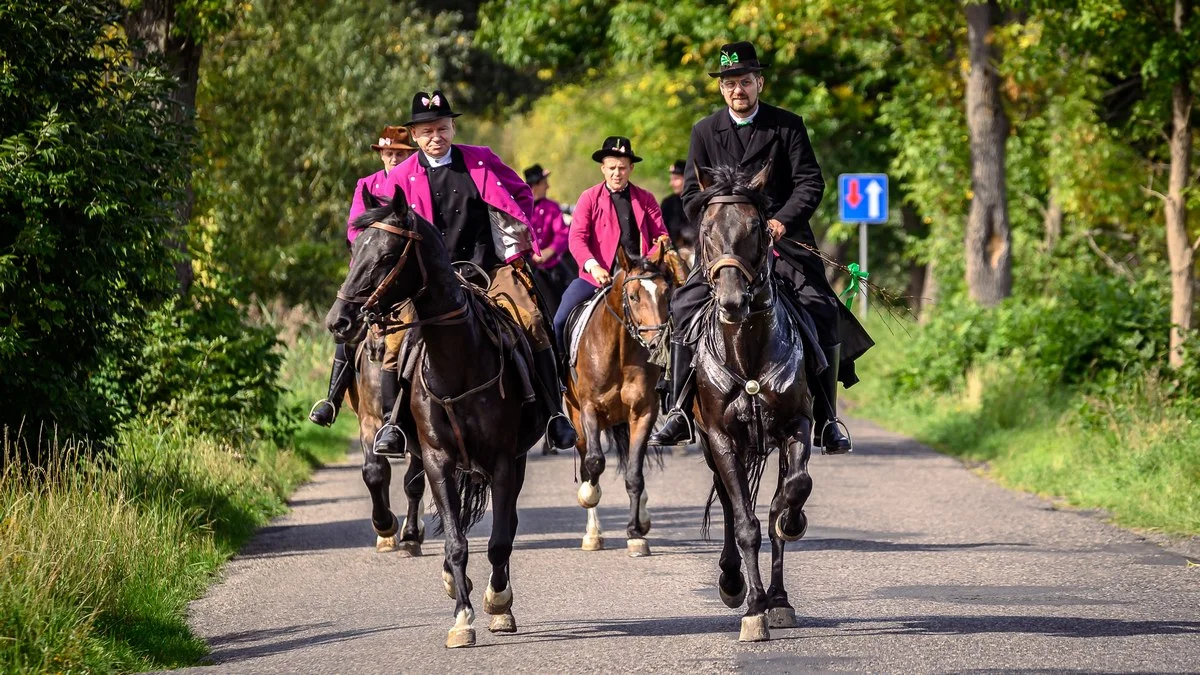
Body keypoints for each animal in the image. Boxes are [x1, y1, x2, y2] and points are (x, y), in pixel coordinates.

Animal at [326, 184, 547, 648]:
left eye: (386, 256)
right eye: (355, 250)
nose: (339, 321)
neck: (458, 362)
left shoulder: (504, 461)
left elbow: (499, 540)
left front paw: (498, 605)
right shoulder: (433, 456)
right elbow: (453, 539)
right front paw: (461, 617)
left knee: (507, 524)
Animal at [561, 243, 686, 554]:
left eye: (666, 293)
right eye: (633, 296)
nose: (656, 341)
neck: (619, 348)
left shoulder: (643, 412)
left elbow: (634, 474)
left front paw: (635, 533)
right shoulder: (589, 409)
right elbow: (594, 462)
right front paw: (589, 495)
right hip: (576, 417)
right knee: (587, 458)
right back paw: (592, 532)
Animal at [686, 163, 816, 638]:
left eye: (757, 227)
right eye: (706, 229)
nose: (732, 301)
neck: (747, 347)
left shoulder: (797, 425)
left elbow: (792, 492)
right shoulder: (721, 438)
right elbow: (744, 523)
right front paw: (753, 608)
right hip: (716, 447)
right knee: (728, 505)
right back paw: (732, 582)